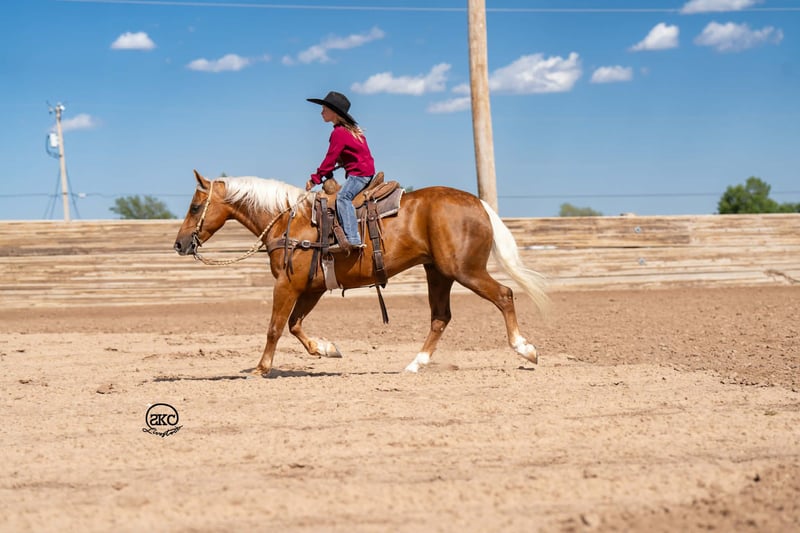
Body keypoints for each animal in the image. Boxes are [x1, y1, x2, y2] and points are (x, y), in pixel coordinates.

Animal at [174, 170, 548, 376]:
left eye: (194, 206)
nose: (179, 244)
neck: (290, 220)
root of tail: (478, 203)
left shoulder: (287, 284)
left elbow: (275, 327)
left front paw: (261, 368)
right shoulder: (312, 288)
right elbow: (295, 325)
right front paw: (327, 349)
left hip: (464, 270)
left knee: (504, 295)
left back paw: (525, 349)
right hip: (438, 273)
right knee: (440, 317)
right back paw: (415, 364)